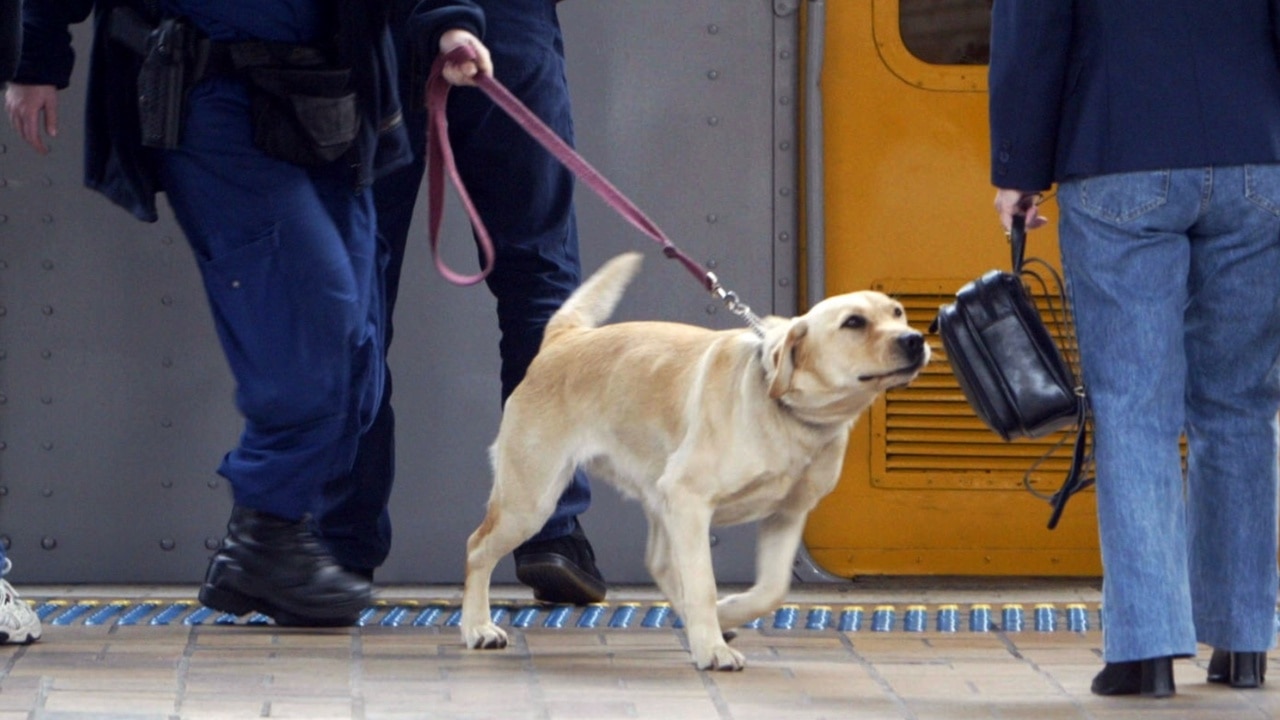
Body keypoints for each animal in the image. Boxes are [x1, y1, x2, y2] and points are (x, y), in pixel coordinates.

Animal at [463, 251, 931, 666]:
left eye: (898, 313)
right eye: (854, 322)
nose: (916, 339)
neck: (791, 416)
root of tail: (564, 339)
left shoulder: (785, 514)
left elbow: (771, 589)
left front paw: (724, 618)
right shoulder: (690, 499)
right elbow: (703, 583)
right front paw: (712, 648)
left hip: (654, 495)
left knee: (661, 564)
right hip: (531, 501)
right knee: (477, 547)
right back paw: (476, 627)